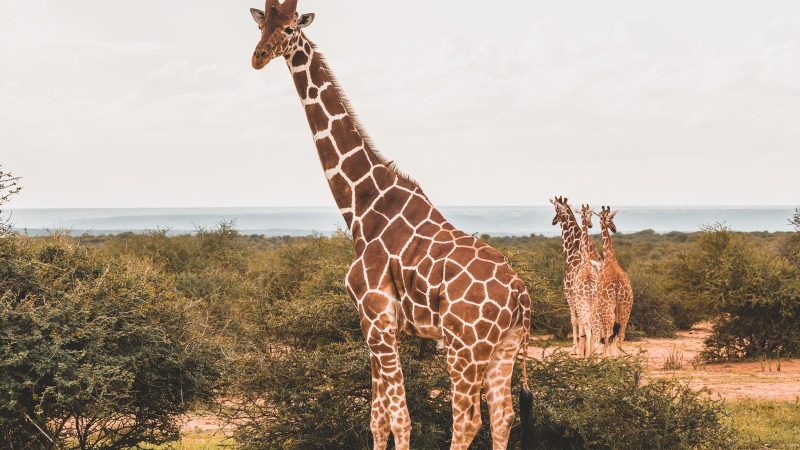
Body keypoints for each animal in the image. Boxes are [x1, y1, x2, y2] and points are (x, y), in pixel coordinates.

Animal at [248, 2, 533, 448]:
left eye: (291, 28)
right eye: (262, 27)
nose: (258, 57)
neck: (361, 206)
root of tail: (521, 297)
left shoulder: (377, 315)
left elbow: (400, 418)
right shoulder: (374, 323)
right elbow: (377, 417)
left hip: (464, 345)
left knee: (467, 420)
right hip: (504, 346)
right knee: (503, 416)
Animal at [595, 206, 634, 350]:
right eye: (610, 218)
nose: (614, 228)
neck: (610, 257)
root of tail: (617, 287)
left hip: (609, 309)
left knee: (608, 335)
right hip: (626, 307)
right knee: (621, 335)